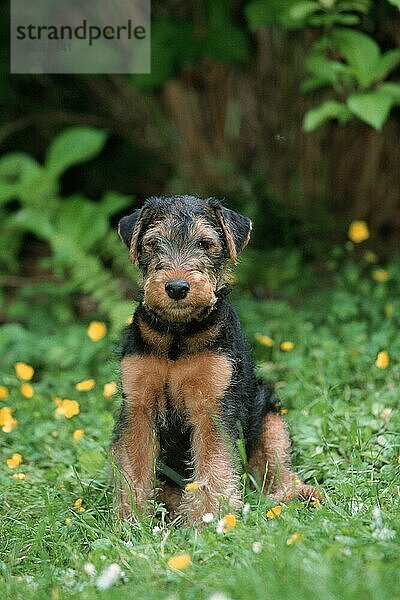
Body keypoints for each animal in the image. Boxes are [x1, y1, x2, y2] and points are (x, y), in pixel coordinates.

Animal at [111, 196, 318, 520]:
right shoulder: (138, 406)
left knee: (278, 474)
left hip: (271, 421)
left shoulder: (212, 405)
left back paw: (298, 496)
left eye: (205, 243)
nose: (177, 288)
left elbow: (214, 465)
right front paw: (129, 520)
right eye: (153, 243)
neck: (177, 335)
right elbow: (134, 469)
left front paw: (210, 520)